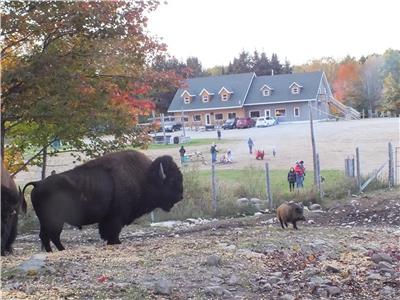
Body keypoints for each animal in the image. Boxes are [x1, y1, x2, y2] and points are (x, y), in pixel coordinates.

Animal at [22, 150, 184, 251]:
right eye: (172, 180)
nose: (180, 196)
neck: (144, 176)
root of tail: (38, 183)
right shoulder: (116, 218)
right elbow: (113, 232)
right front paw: (116, 242)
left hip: (47, 221)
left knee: (45, 236)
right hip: (55, 221)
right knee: (52, 236)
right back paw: (61, 250)